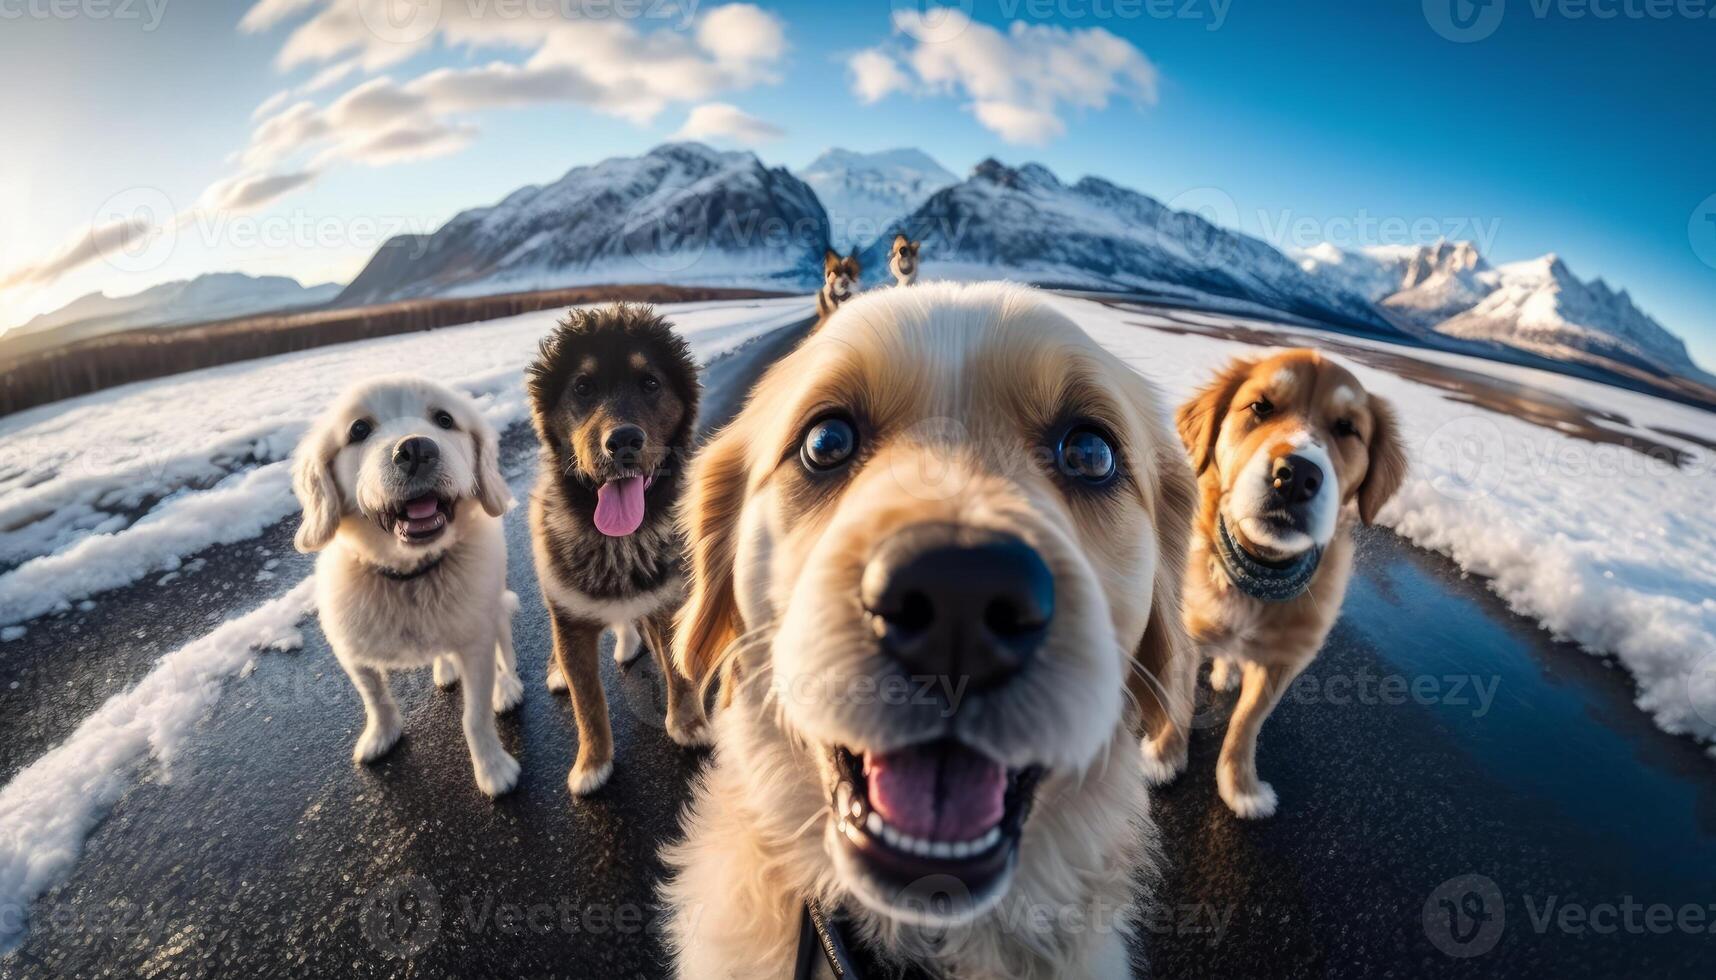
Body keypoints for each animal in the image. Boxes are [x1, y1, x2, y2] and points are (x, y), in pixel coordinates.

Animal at [295, 375, 521, 796]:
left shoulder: (476, 644)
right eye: (359, 429)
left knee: (506, 652)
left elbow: (476, 715)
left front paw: (493, 769)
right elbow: (376, 699)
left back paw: (508, 687)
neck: (411, 576)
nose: (416, 449)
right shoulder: (351, 653)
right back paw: (444, 669)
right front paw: (381, 736)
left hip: (496, 610)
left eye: (444, 419)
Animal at [1153, 353, 1407, 820]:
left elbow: (1246, 724)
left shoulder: (1284, 660)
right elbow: (1179, 697)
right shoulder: (1186, 633)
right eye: (1260, 407)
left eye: (1347, 428)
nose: (1296, 475)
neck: (1258, 576)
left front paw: (1241, 787)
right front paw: (1164, 753)